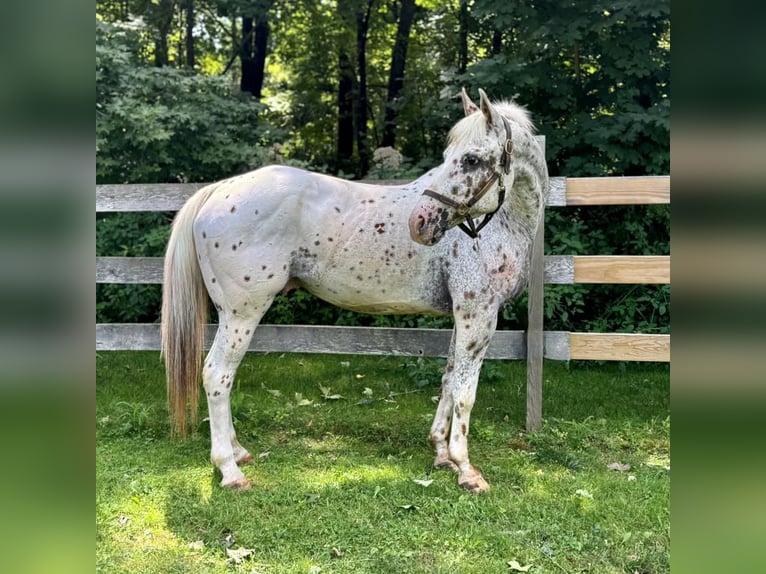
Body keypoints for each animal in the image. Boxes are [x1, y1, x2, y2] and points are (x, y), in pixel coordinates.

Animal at [162, 90, 548, 496]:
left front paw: (441, 453)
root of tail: (218, 190)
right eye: (453, 157)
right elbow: (465, 392)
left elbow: (449, 379)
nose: (420, 222)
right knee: (217, 374)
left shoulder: (464, 316)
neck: (501, 226)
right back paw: (229, 469)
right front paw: (466, 468)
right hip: (242, 313)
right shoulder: (479, 314)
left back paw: (238, 452)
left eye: (471, 158)